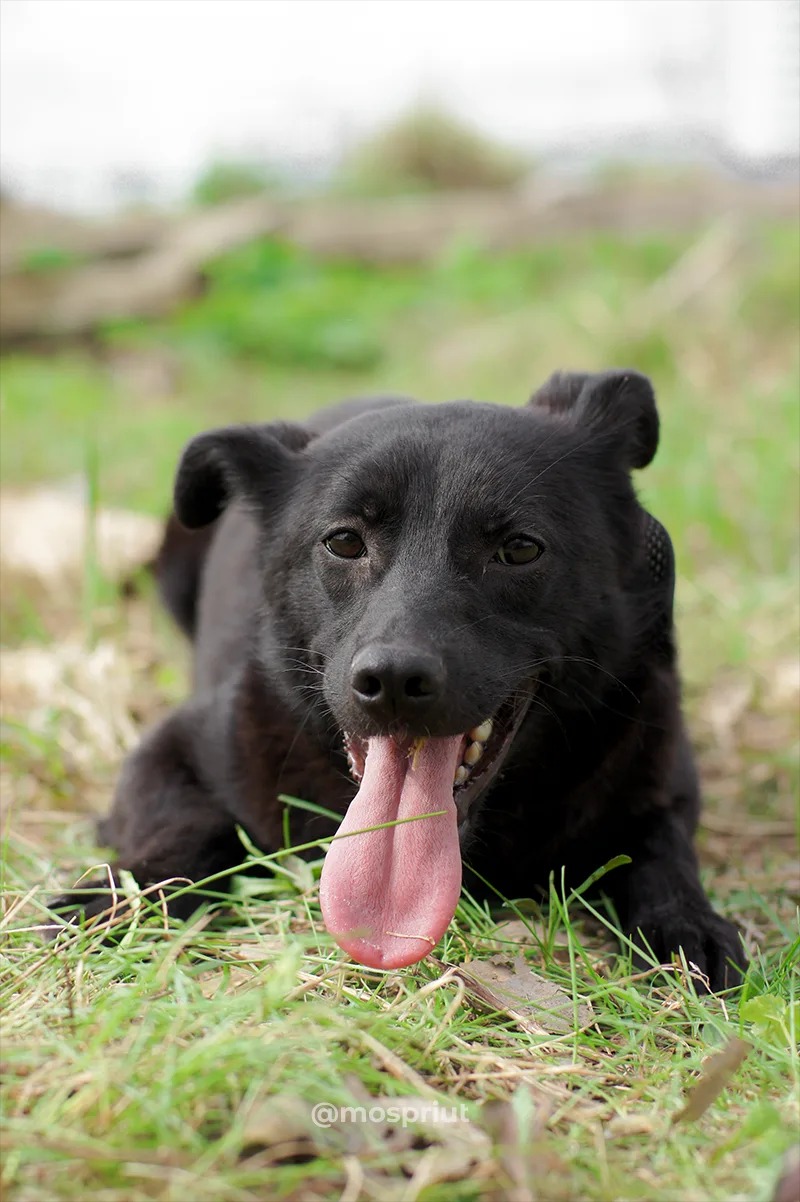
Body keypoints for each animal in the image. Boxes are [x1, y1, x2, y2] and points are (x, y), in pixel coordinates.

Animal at [52, 372, 744, 985]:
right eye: (343, 542)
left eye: (520, 549)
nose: (391, 679)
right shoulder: (170, 750)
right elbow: (196, 827)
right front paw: (116, 898)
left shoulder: (661, 775)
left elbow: (659, 848)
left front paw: (686, 924)